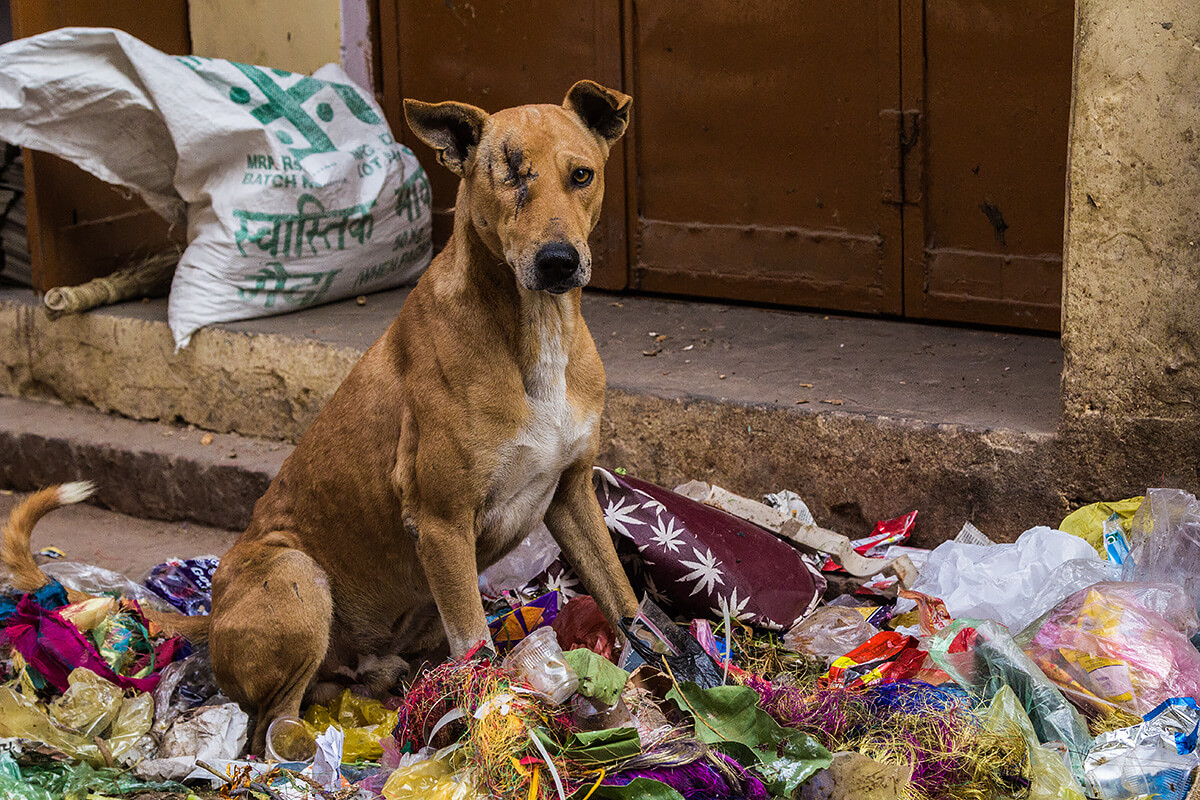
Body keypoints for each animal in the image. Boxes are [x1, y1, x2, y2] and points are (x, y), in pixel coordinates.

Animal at [2, 77, 638, 753]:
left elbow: (625, 599)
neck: (534, 327)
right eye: (510, 176)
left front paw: (660, 680)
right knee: (268, 727)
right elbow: (477, 648)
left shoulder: (570, 492)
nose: (558, 261)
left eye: (581, 175)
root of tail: (210, 617)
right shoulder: (441, 523)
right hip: (297, 574)